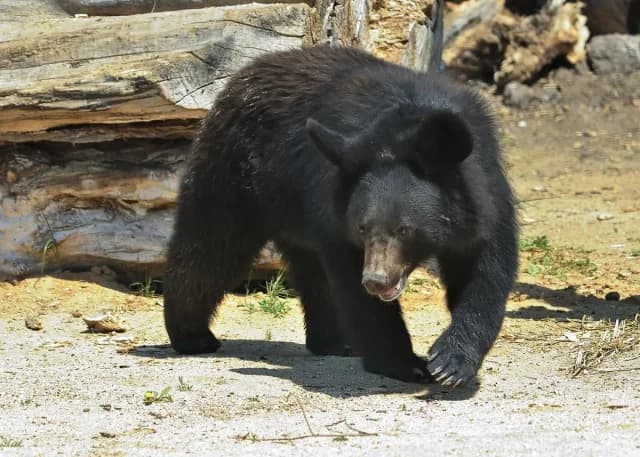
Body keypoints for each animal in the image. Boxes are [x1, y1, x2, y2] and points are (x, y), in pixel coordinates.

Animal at [163, 1, 518, 386]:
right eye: (363, 227)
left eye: (406, 229)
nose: (376, 280)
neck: (406, 128)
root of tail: (240, 76)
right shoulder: (336, 206)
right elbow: (353, 285)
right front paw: (405, 362)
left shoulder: (483, 192)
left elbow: (483, 270)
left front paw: (450, 364)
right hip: (234, 171)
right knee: (211, 245)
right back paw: (192, 335)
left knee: (308, 269)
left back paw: (333, 342)